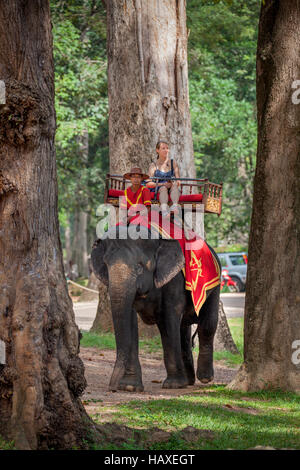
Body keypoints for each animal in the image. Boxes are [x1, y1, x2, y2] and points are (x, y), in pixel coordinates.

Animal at [91, 226, 220, 392]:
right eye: (106, 265)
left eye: (139, 267)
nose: (112, 389)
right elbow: (131, 321)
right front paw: (129, 387)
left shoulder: (174, 280)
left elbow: (169, 319)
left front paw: (173, 385)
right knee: (183, 330)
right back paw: (189, 380)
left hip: (214, 284)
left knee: (207, 324)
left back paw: (204, 378)